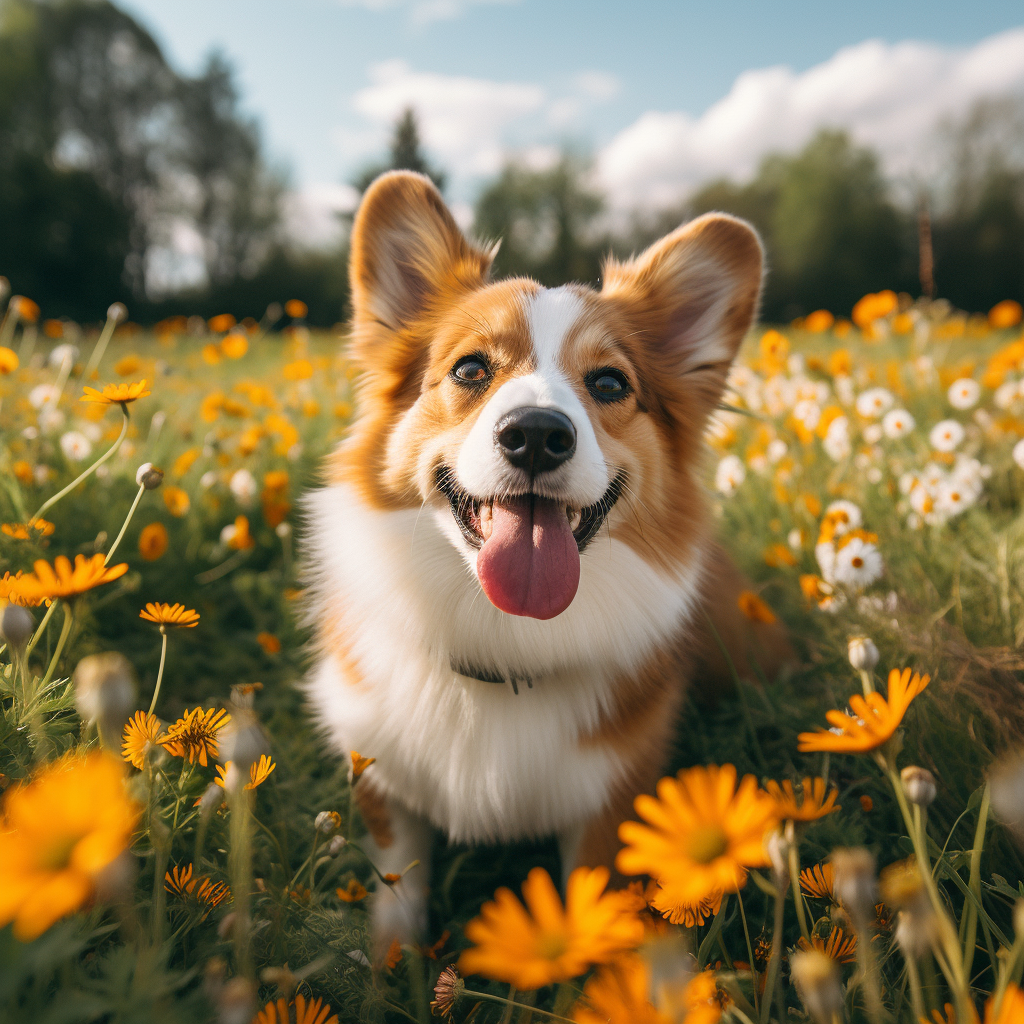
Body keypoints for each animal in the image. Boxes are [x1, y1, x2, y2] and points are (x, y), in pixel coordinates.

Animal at [299, 167, 786, 942]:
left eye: (610, 383)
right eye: (470, 369)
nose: (535, 434)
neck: (505, 644)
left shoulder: (608, 808)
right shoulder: (382, 781)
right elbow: (397, 892)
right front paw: (389, 964)